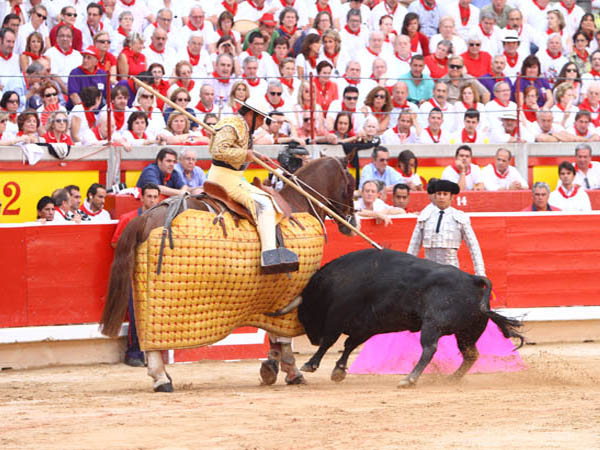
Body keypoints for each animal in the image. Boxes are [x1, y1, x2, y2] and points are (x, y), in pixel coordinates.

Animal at [99, 156, 356, 392]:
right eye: (352, 184)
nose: (352, 221)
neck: (297, 202)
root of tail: (145, 217)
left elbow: (274, 333)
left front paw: (270, 368)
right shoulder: (292, 292)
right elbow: (283, 337)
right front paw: (292, 371)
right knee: (153, 337)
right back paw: (162, 378)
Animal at [284, 250, 524, 386]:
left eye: (304, 312)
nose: (311, 339)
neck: (334, 281)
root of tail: (473, 280)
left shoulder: (338, 317)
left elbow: (330, 341)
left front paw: (310, 364)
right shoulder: (365, 327)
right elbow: (349, 345)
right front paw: (338, 371)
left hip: (433, 325)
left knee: (429, 348)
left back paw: (409, 379)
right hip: (467, 332)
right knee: (471, 354)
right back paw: (451, 379)